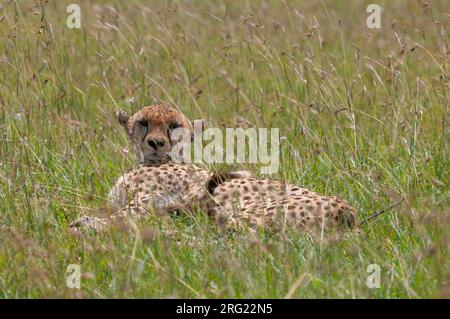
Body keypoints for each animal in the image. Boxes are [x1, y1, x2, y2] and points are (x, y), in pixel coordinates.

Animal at [70, 104, 356, 232]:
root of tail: (347, 209)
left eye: (173, 126)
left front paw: (87, 222)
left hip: (241, 208)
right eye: (143, 122)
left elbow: (124, 215)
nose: (156, 143)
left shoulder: (147, 199)